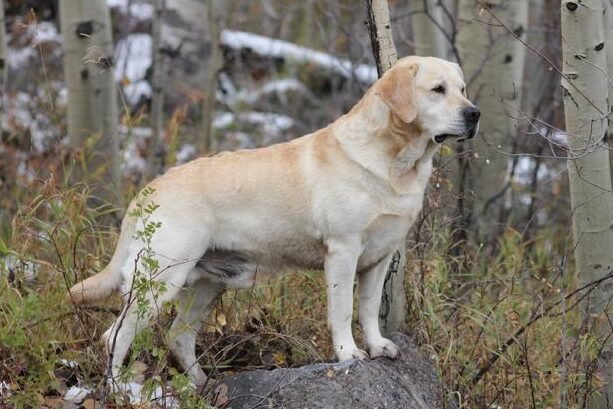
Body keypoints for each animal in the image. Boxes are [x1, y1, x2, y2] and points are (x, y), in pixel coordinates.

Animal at [68, 55, 478, 386]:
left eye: (462, 88)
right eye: (437, 90)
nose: (474, 113)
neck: (396, 163)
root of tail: (149, 189)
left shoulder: (379, 258)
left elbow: (368, 309)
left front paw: (377, 346)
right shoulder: (343, 252)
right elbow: (343, 310)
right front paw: (348, 353)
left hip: (208, 285)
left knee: (178, 337)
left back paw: (202, 386)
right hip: (159, 282)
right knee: (115, 336)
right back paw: (120, 390)